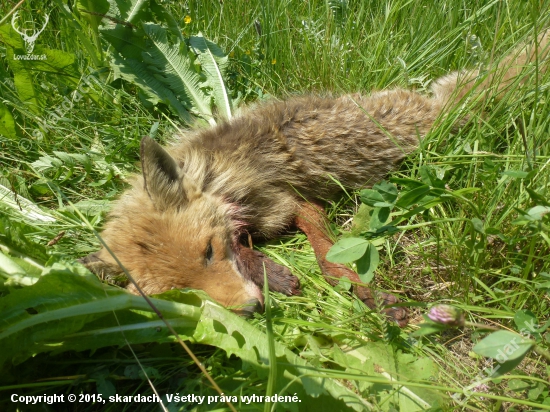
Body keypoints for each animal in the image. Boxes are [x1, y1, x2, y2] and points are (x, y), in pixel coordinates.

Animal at [83, 31, 550, 326]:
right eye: (183, 295)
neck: (219, 177)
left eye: (210, 252)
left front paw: (369, 295)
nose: (250, 311)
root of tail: (434, 106)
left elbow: (329, 260)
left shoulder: (289, 203)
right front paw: (272, 273)